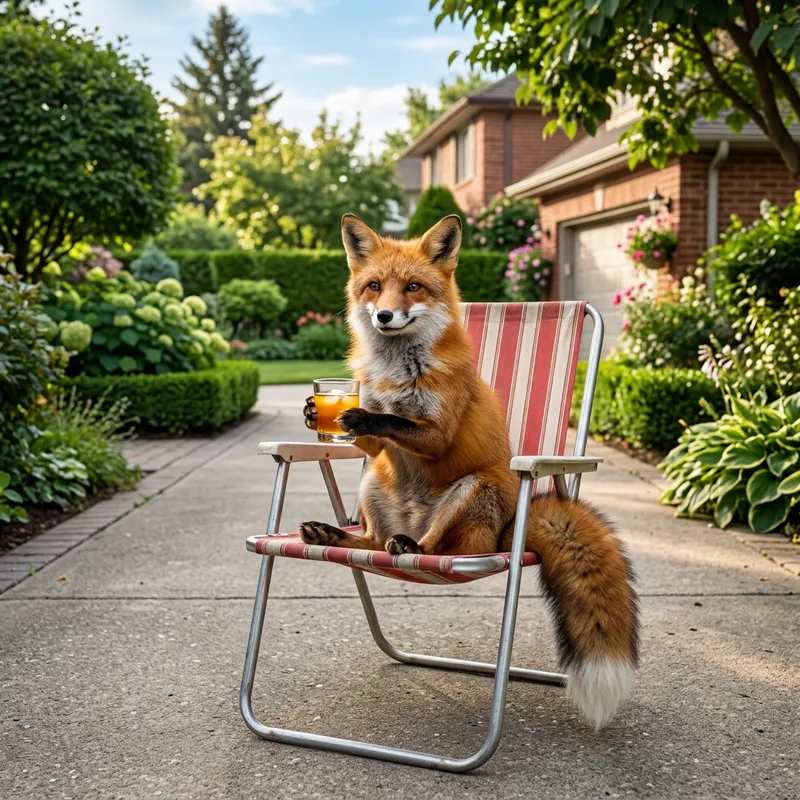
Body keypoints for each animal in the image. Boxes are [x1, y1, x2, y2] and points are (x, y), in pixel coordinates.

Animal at [299, 213, 639, 730]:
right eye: (374, 287)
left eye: (413, 287)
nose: (384, 316)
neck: (396, 373)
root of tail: (509, 533)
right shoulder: (374, 449)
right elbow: (371, 435)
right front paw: (315, 413)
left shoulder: (438, 430)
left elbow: (397, 422)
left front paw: (367, 416)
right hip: (372, 483)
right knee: (370, 543)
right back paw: (332, 535)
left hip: (472, 492)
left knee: (441, 548)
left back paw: (412, 547)